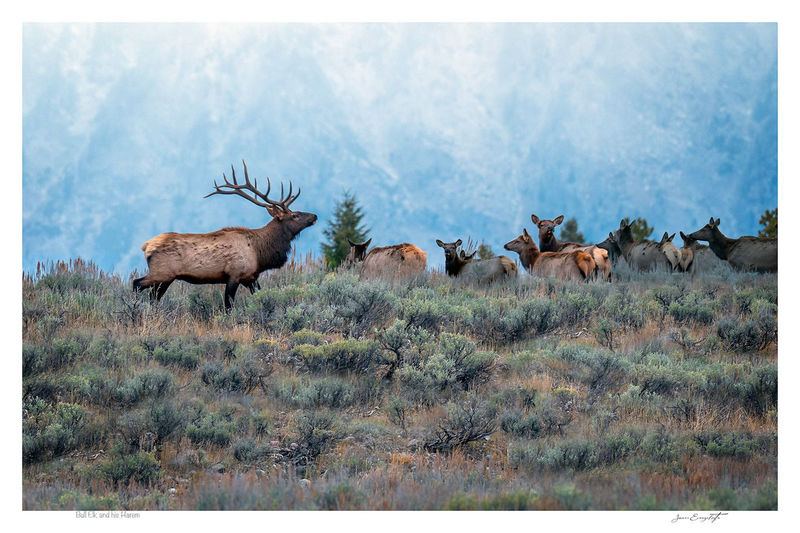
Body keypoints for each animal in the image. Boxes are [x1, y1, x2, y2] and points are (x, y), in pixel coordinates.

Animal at [132, 161, 318, 311]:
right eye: (295, 215)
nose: (315, 216)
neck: (260, 253)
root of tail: (146, 246)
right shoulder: (234, 274)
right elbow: (228, 306)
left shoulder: (251, 277)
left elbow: (258, 296)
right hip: (162, 273)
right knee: (136, 284)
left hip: (165, 279)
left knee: (153, 297)